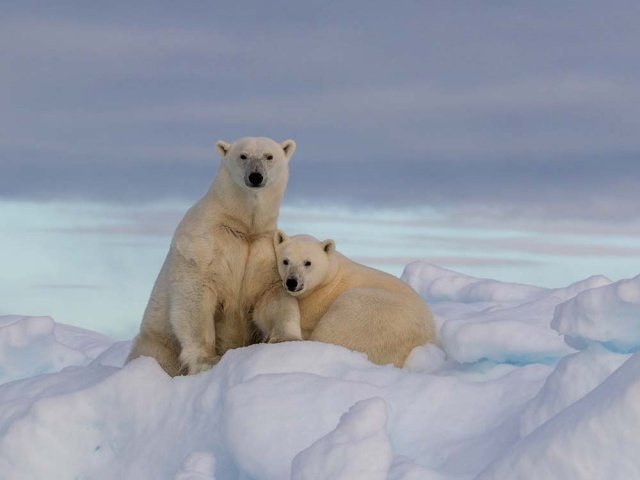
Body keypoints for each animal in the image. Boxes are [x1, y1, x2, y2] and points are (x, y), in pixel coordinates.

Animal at [129, 137, 304, 376]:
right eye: (243, 155)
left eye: (269, 156)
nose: (255, 176)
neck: (241, 226)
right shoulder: (203, 244)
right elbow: (196, 296)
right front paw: (208, 360)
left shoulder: (264, 251)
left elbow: (272, 295)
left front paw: (287, 340)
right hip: (159, 341)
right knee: (157, 355)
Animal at [272, 231, 436, 366]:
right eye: (285, 261)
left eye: (307, 262)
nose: (292, 282)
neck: (330, 277)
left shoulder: (317, 301)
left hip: (365, 313)